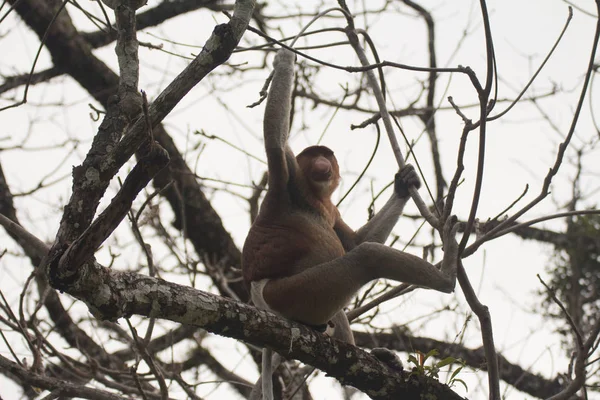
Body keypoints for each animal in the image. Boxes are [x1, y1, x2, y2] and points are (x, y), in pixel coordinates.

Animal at [241, 48, 458, 398]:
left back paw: (376, 359)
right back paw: (448, 276)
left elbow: (353, 240)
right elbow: (274, 139)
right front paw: (284, 59)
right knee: (367, 258)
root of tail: (259, 299)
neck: (312, 198)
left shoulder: (332, 210)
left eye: (326, 155)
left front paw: (404, 184)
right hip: (292, 294)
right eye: (313, 155)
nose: (322, 163)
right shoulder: (287, 177)